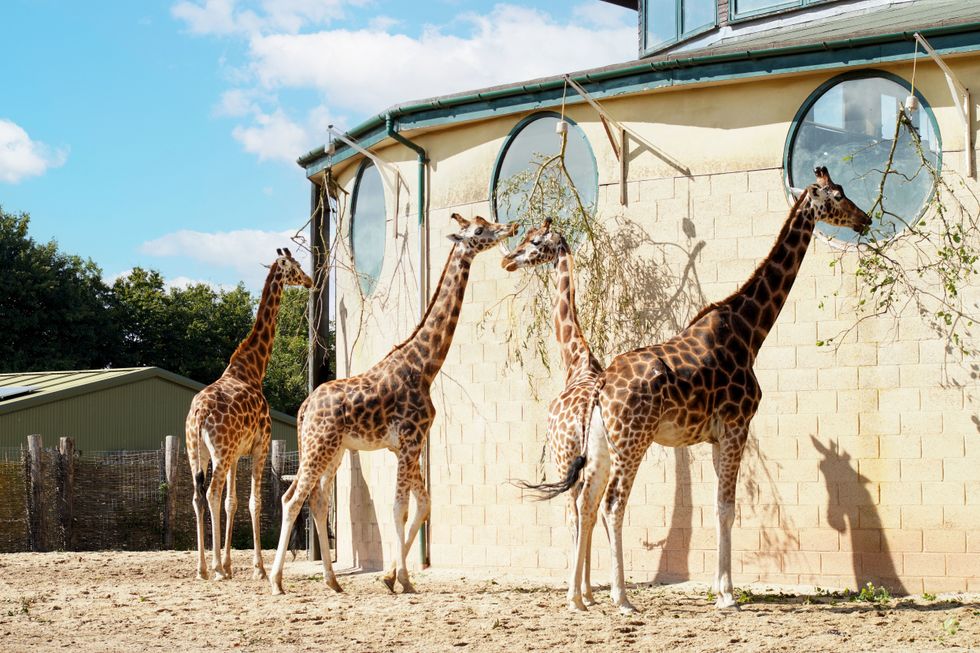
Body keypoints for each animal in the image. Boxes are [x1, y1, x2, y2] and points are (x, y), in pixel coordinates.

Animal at [188, 248, 314, 580]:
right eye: (296, 266)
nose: (310, 280)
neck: (252, 369)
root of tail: (199, 414)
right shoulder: (260, 445)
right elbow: (254, 503)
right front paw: (257, 568)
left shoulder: (236, 455)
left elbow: (231, 503)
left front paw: (231, 564)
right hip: (218, 453)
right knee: (210, 493)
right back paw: (215, 569)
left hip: (197, 452)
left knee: (198, 496)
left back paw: (203, 568)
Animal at [266, 215, 512, 596]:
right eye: (478, 231)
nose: (509, 228)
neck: (424, 366)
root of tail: (305, 406)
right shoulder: (409, 441)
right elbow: (399, 508)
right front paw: (402, 579)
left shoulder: (408, 445)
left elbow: (422, 506)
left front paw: (391, 575)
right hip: (318, 447)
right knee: (292, 499)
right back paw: (276, 581)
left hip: (333, 451)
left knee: (318, 502)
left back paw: (333, 581)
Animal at [506, 220, 604, 608]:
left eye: (534, 241)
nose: (507, 260)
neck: (575, 360)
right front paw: (590, 592)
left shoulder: (565, 463)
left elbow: (574, 519)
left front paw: (580, 593)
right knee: (595, 510)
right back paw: (585, 593)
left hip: (566, 460)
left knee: (577, 513)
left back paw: (573, 596)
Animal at [548, 167, 868, 612]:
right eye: (837, 196)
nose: (865, 220)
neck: (750, 331)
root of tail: (602, 385)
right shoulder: (737, 425)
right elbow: (728, 508)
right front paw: (729, 596)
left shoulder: (716, 436)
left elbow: (720, 509)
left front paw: (720, 590)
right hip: (632, 440)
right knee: (613, 504)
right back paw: (621, 598)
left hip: (600, 445)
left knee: (586, 502)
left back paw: (578, 599)